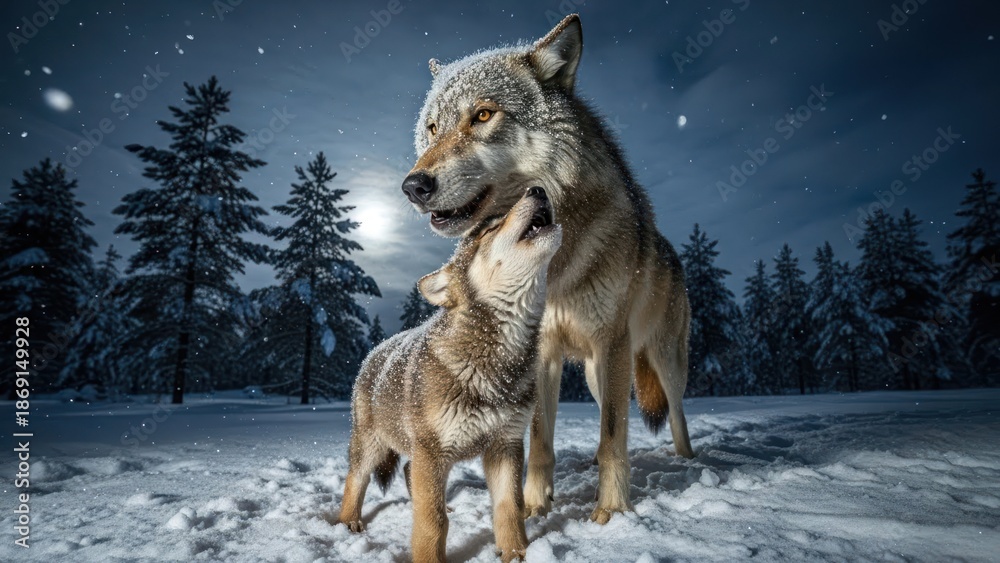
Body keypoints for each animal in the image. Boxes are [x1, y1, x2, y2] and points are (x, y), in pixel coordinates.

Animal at [339, 187, 562, 562]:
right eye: (490, 229)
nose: (537, 189)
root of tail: (373, 353)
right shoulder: (432, 452)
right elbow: (433, 521)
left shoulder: (506, 446)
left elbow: (509, 508)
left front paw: (516, 553)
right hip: (374, 446)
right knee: (356, 480)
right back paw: (347, 524)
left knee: (408, 471)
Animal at [400, 14, 695, 525]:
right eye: (432, 127)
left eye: (483, 115)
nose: (413, 186)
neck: (551, 268)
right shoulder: (544, 353)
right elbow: (540, 438)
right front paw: (535, 505)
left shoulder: (611, 340)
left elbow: (614, 433)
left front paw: (612, 510)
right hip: (599, 373)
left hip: (656, 359)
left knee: (674, 413)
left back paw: (689, 462)